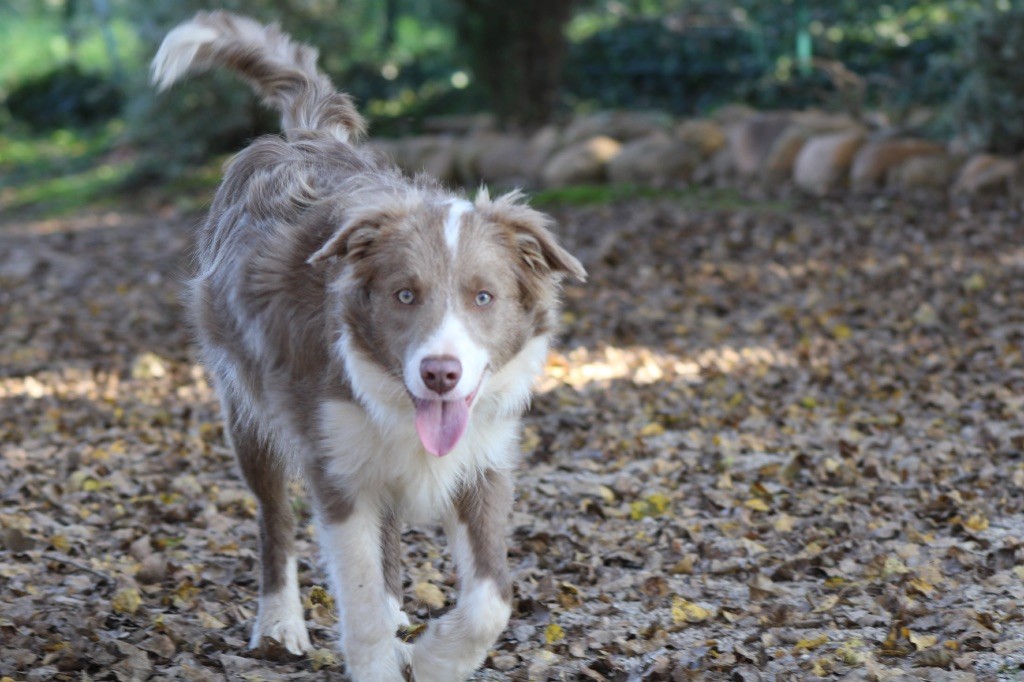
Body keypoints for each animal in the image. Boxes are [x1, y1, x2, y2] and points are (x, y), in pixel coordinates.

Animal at [149, 11, 585, 679]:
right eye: (405, 294)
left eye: (483, 296)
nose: (440, 374)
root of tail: (303, 135)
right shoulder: (336, 465)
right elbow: (356, 591)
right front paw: (385, 654)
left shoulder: (482, 461)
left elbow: (491, 598)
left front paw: (437, 657)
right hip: (246, 408)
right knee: (275, 518)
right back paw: (278, 623)